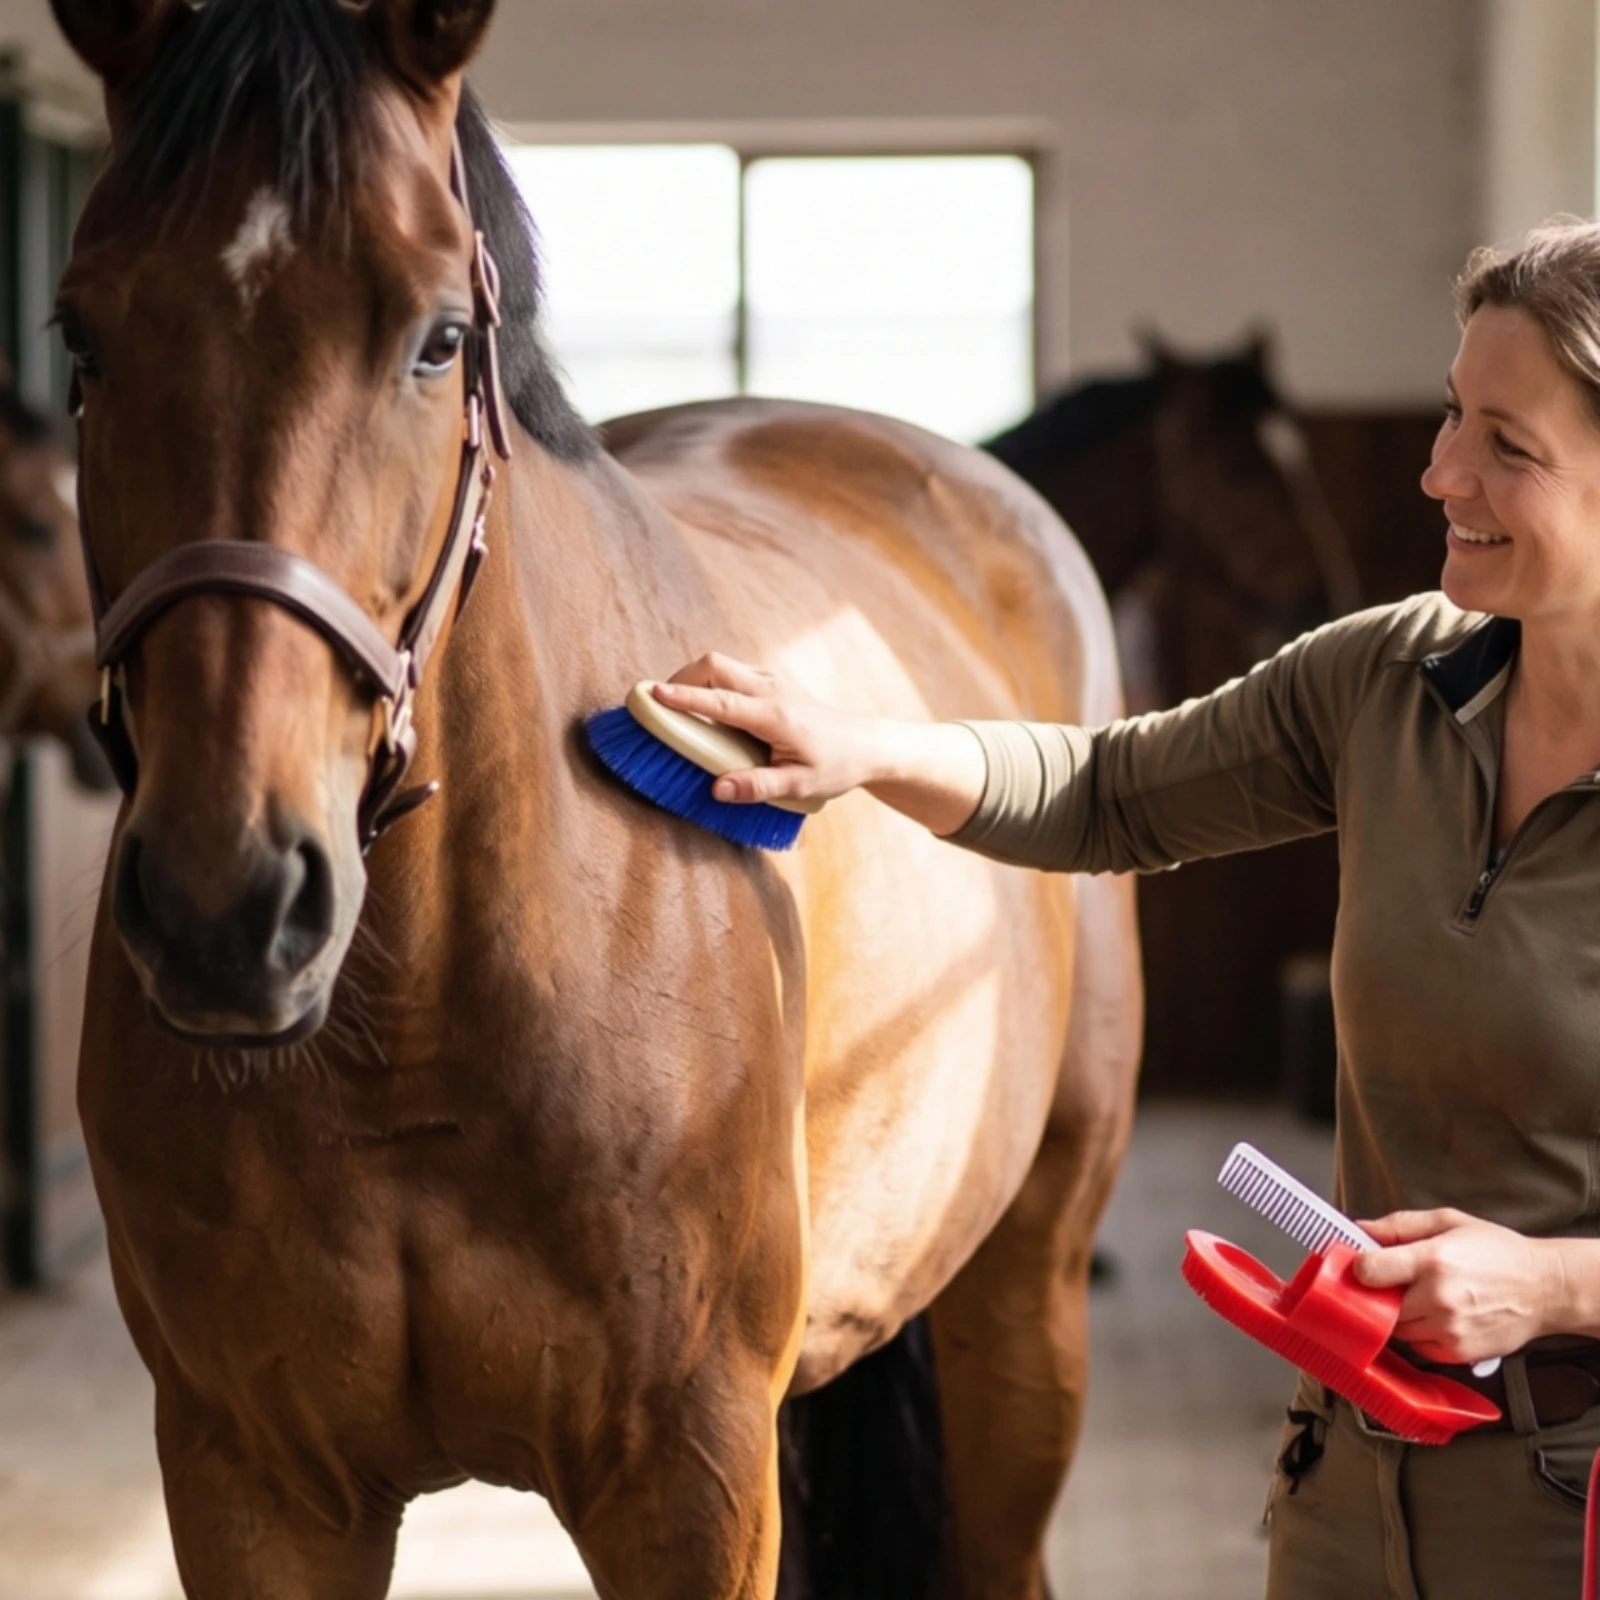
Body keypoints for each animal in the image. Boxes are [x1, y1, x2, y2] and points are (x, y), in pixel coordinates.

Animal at [50, 3, 1140, 1597]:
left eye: (440, 336)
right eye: (81, 333)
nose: (225, 905)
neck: (420, 1027)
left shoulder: (689, 1481)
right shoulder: (251, 1479)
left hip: (1024, 1299)